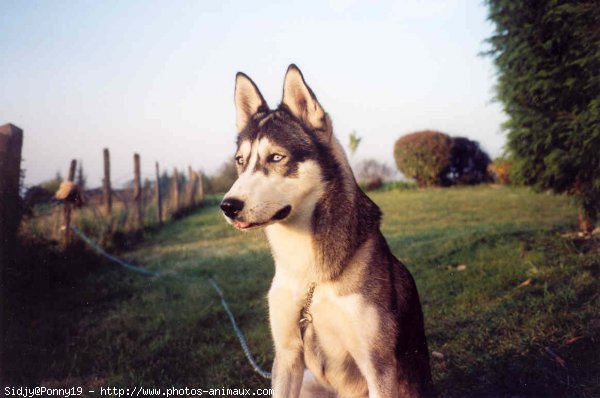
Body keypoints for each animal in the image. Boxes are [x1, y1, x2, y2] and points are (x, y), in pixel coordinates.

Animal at [220, 63, 432, 396]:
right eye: (241, 161)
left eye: (276, 157)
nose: (228, 205)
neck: (309, 276)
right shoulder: (287, 355)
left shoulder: (378, 365)